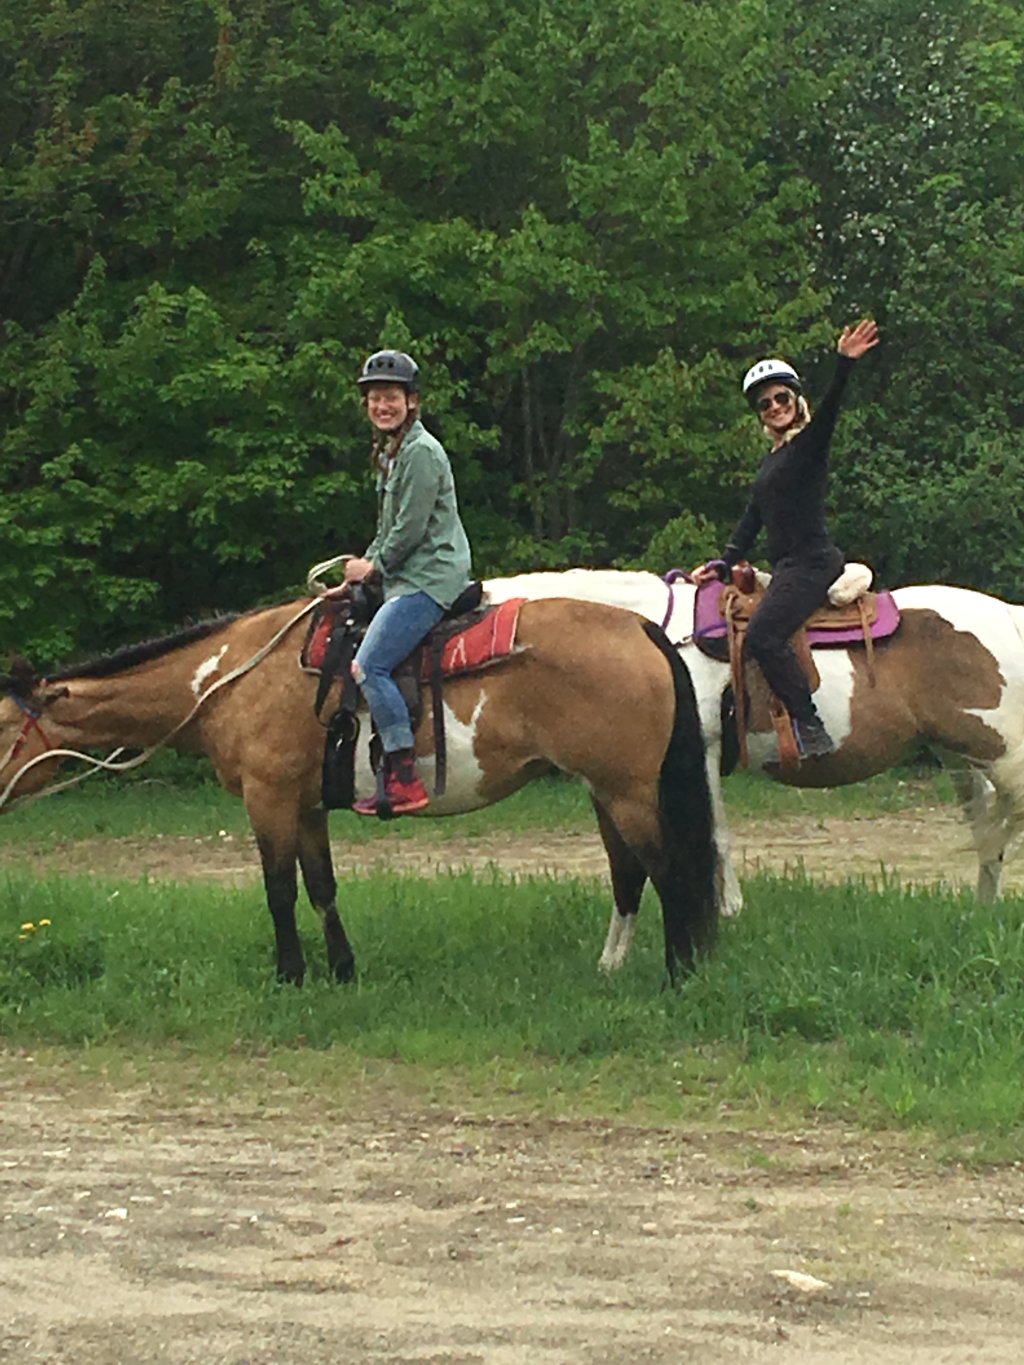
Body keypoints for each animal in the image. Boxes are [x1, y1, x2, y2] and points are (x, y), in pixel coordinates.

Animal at [0, 595, 715, 982]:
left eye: (4, 723)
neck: (231, 678)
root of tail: (642, 629)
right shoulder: (306, 804)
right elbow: (321, 887)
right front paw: (342, 970)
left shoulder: (267, 799)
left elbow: (279, 891)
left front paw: (289, 975)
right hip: (604, 790)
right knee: (630, 874)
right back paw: (614, 966)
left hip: (625, 790)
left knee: (667, 869)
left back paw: (678, 973)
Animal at [486, 570, 1024, 966]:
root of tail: (1010, 615)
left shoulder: (699, 751)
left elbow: (712, 837)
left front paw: (727, 911)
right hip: (960, 755)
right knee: (986, 834)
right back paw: (981, 912)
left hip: (1000, 752)